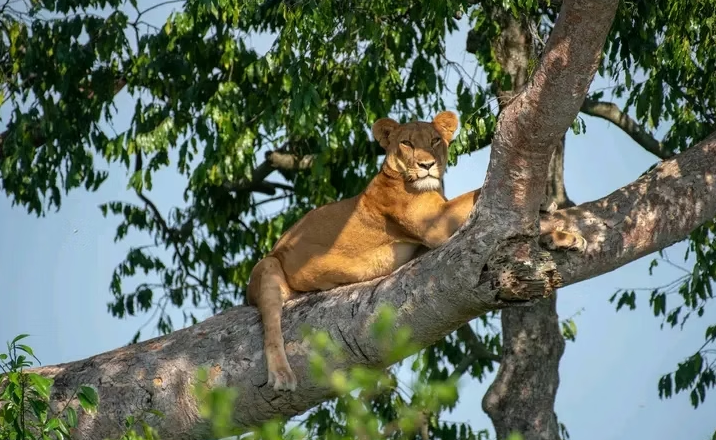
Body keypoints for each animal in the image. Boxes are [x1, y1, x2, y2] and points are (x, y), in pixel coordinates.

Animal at [247, 111, 586, 391]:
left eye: (435, 140)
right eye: (407, 143)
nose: (427, 165)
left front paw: (563, 236)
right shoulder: (438, 226)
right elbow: (476, 195)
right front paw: (545, 204)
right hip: (267, 265)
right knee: (271, 327)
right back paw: (282, 376)